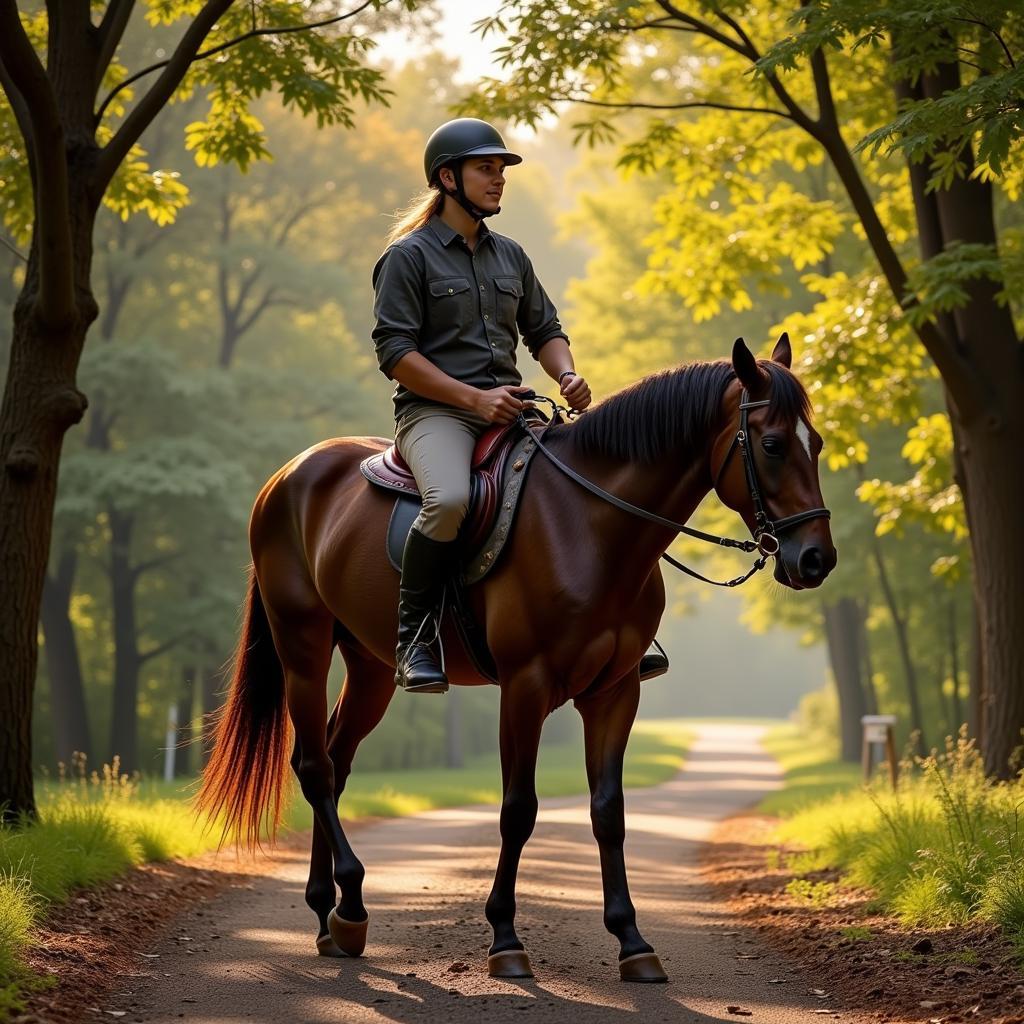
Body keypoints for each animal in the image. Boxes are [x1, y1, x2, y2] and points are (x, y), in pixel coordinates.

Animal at [195, 335, 835, 983]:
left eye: (817, 444)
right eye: (773, 445)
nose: (816, 560)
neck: (589, 525)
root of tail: (287, 475)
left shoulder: (616, 691)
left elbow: (609, 811)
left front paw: (632, 940)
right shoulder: (525, 687)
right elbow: (518, 809)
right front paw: (504, 937)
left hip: (372, 668)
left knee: (335, 758)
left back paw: (330, 915)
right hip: (302, 647)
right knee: (315, 768)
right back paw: (348, 901)